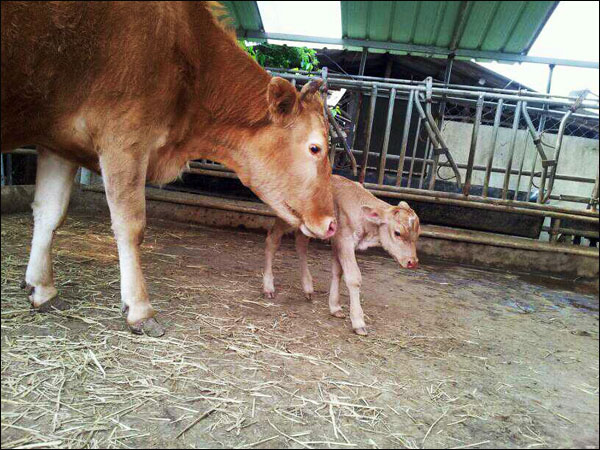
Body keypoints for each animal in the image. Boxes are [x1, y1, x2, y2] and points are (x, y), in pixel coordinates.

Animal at [1, 1, 338, 336]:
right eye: (315, 148)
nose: (332, 223)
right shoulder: (124, 138)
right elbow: (131, 225)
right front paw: (140, 309)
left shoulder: (58, 142)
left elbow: (49, 213)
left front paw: (42, 289)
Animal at [264, 175, 420, 334]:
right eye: (397, 233)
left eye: (417, 234)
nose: (412, 262)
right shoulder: (345, 240)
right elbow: (353, 277)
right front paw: (358, 321)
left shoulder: (337, 240)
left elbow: (337, 271)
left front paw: (335, 307)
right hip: (285, 216)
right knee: (272, 240)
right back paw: (268, 286)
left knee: (301, 244)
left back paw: (307, 287)